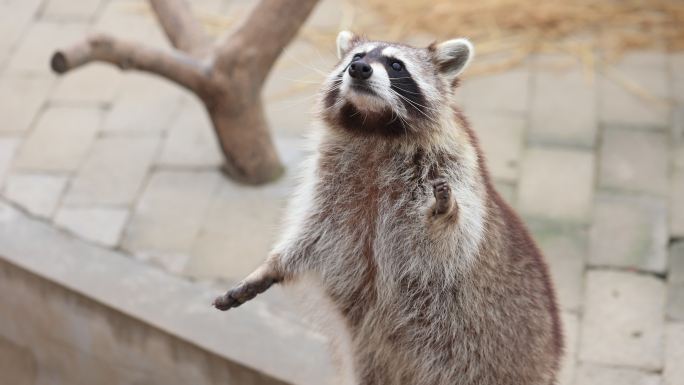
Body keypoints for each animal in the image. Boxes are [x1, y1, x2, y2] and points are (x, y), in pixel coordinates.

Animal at [216, 30, 564, 384]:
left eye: (396, 65)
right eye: (356, 57)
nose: (359, 69)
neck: (374, 126)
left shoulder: (456, 169)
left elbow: (456, 237)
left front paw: (444, 214)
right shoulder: (329, 189)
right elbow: (312, 233)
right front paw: (272, 265)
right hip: (372, 356)